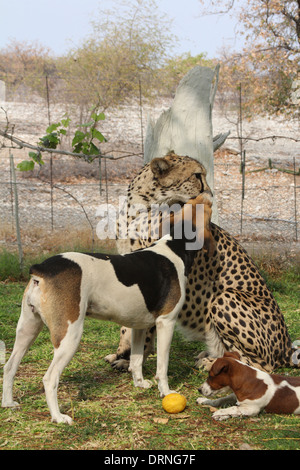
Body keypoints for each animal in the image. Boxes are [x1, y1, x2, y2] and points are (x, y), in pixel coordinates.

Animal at [2, 193, 213, 424]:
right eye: (204, 207)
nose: (206, 194)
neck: (174, 246)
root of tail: (42, 268)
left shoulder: (139, 327)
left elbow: (136, 360)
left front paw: (139, 383)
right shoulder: (166, 323)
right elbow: (162, 367)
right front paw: (165, 392)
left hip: (27, 329)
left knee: (9, 366)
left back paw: (8, 403)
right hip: (69, 335)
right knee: (50, 378)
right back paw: (58, 417)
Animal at [104, 152, 298, 372]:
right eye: (197, 175)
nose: (210, 193)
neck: (140, 208)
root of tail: (286, 346)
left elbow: (144, 329)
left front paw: (135, 361)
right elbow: (126, 325)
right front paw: (122, 353)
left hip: (224, 298)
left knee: (263, 366)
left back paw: (212, 362)